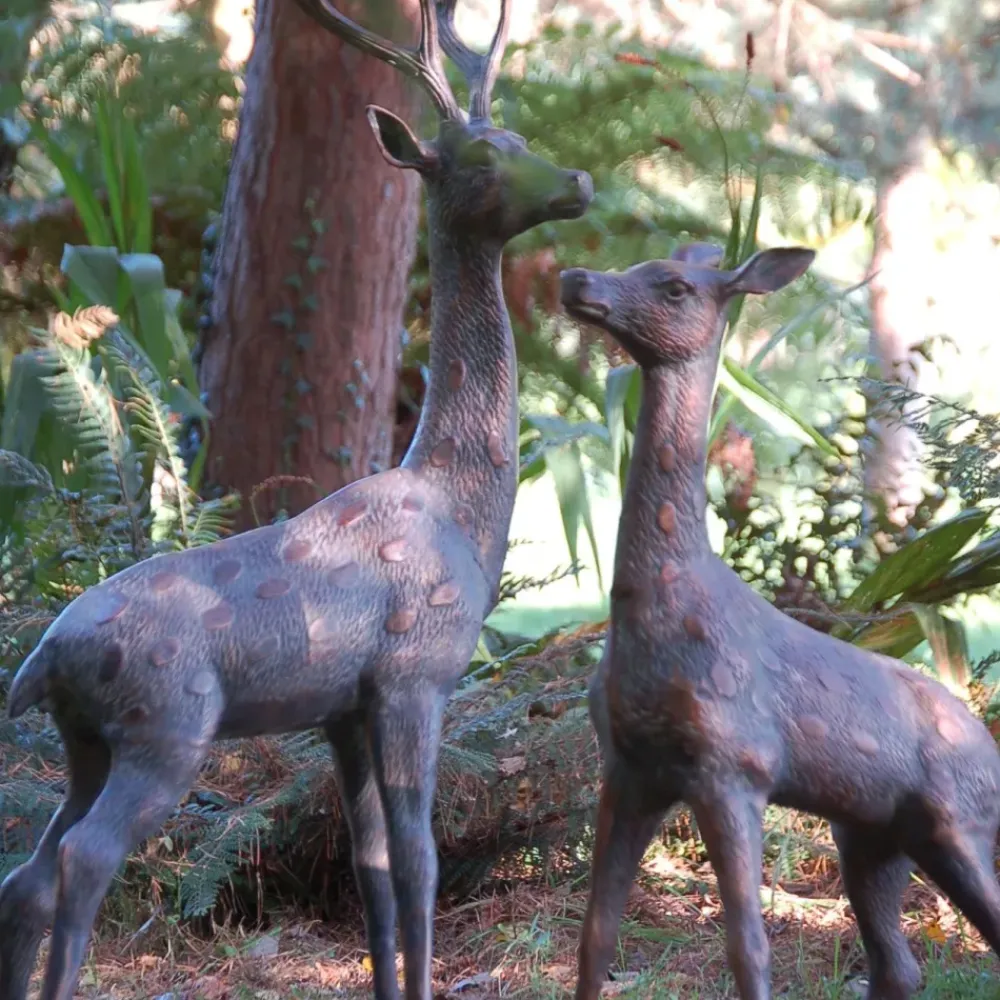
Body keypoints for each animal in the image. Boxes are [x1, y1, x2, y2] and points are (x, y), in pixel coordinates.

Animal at [0, 2, 593, 998]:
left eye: (519, 137)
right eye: (480, 160)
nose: (579, 179)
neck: (460, 504)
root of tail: (41, 662)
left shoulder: (342, 710)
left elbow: (373, 868)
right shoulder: (414, 674)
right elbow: (421, 859)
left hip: (88, 741)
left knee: (29, 873)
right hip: (166, 724)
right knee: (85, 861)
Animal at [559, 243, 1000, 1000]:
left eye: (674, 287)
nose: (575, 279)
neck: (661, 612)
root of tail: (993, 758)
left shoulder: (736, 762)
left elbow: (747, 945)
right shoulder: (628, 766)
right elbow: (596, 937)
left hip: (957, 822)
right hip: (873, 838)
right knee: (899, 966)